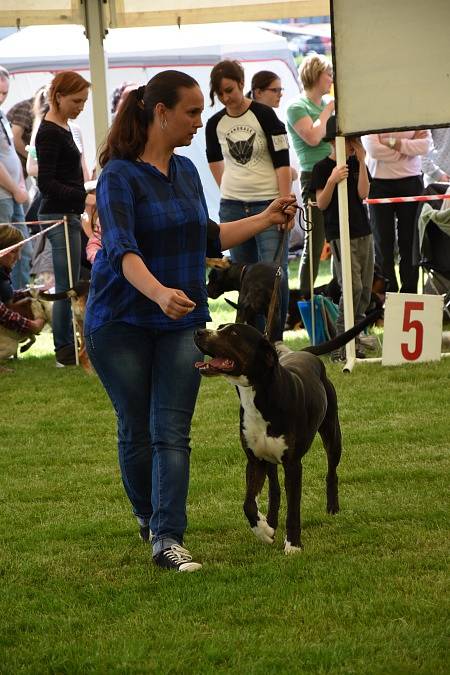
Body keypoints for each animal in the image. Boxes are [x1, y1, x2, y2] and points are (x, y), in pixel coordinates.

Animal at [193, 312, 380, 556]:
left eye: (233, 333)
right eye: (220, 327)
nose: (198, 331)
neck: (259, 396)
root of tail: (305, 352)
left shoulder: (293, 464)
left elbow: (293, 509)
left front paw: (293, 545)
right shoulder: (254, 460)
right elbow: (248, 504)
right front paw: (264, 530)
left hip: (332, 434)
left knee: (331, 472)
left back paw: (332, 508)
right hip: (270, 459)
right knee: (274, 490)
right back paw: (271, 521)